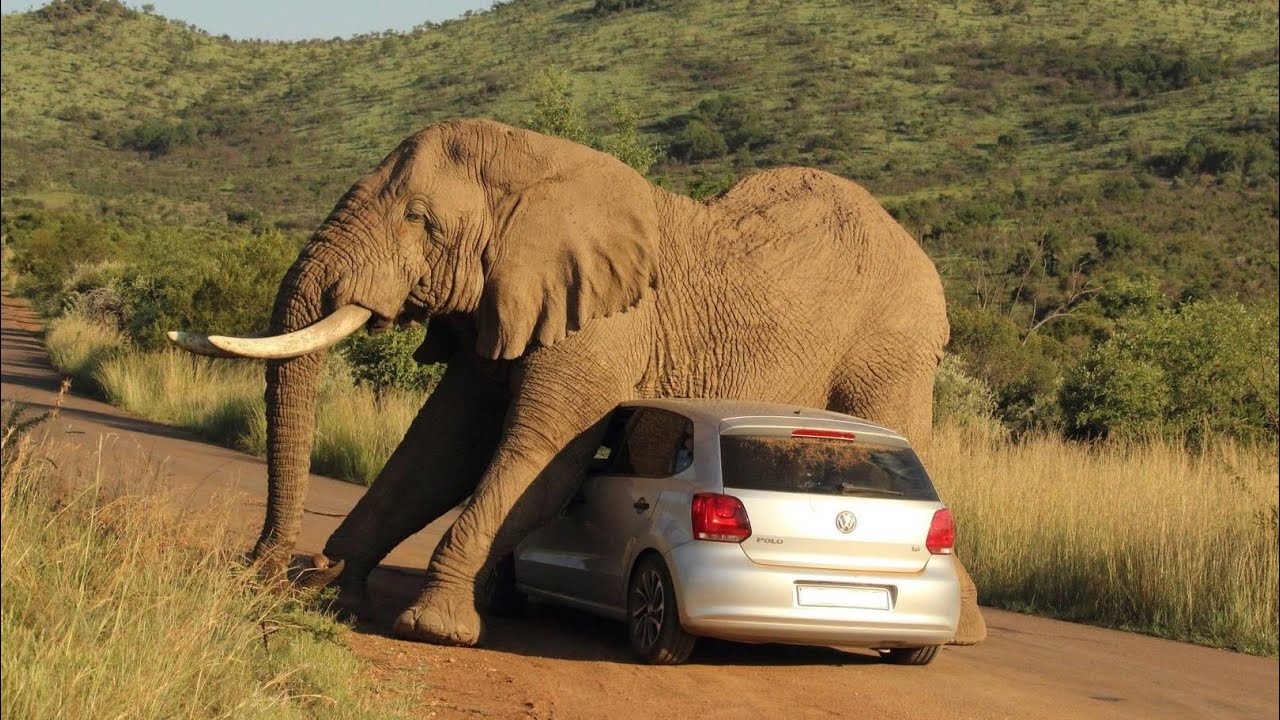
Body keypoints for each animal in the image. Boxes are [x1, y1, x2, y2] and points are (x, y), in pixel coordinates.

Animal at [169, 118, 986, 648]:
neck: (540, 167)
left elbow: (541, 456)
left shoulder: (605, 323)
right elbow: (440, 450)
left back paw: (965, 629)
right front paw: (337, 589)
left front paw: (433, 626)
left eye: (419, 219)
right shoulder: (506, 300)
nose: (262, 570)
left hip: (893, 341)